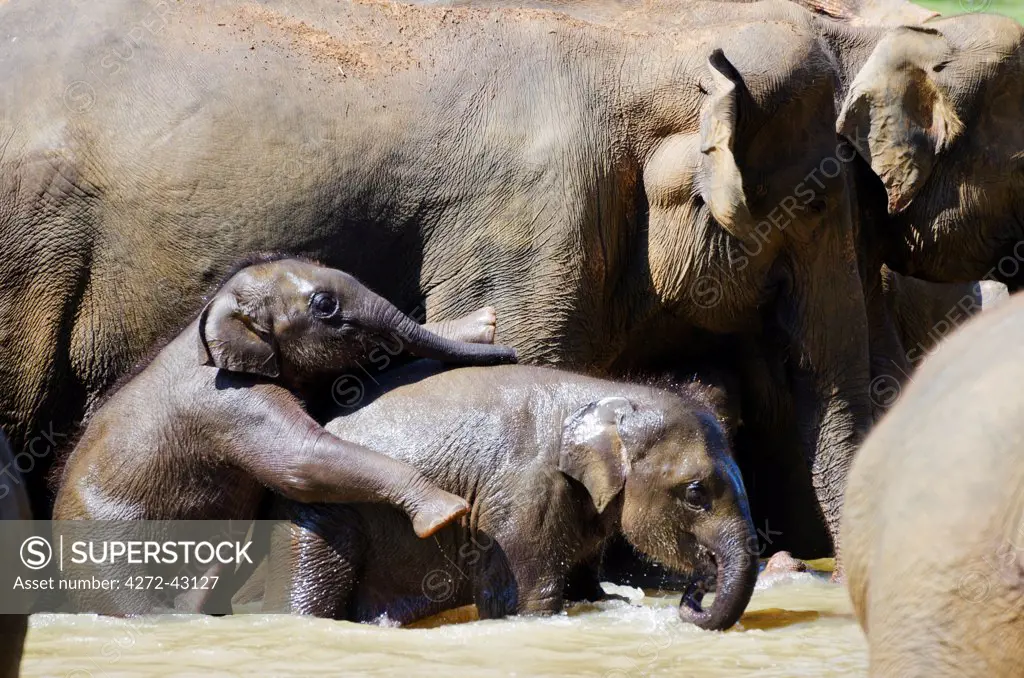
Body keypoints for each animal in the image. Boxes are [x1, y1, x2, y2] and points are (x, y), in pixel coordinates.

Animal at [51, 256, 516, 614]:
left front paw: (483, 324)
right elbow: (302, 462)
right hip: (103, 551)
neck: (211, 315)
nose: (509, 351)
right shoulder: (232, 400)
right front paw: (446, 512)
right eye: (325, 305)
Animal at [264, 360, 761, 630]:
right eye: (695, 493)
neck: (608, 393)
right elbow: (527, 602)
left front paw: (608, 600)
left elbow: (584, 587)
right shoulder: (524, 495)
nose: (694, 592)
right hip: (321, 511)